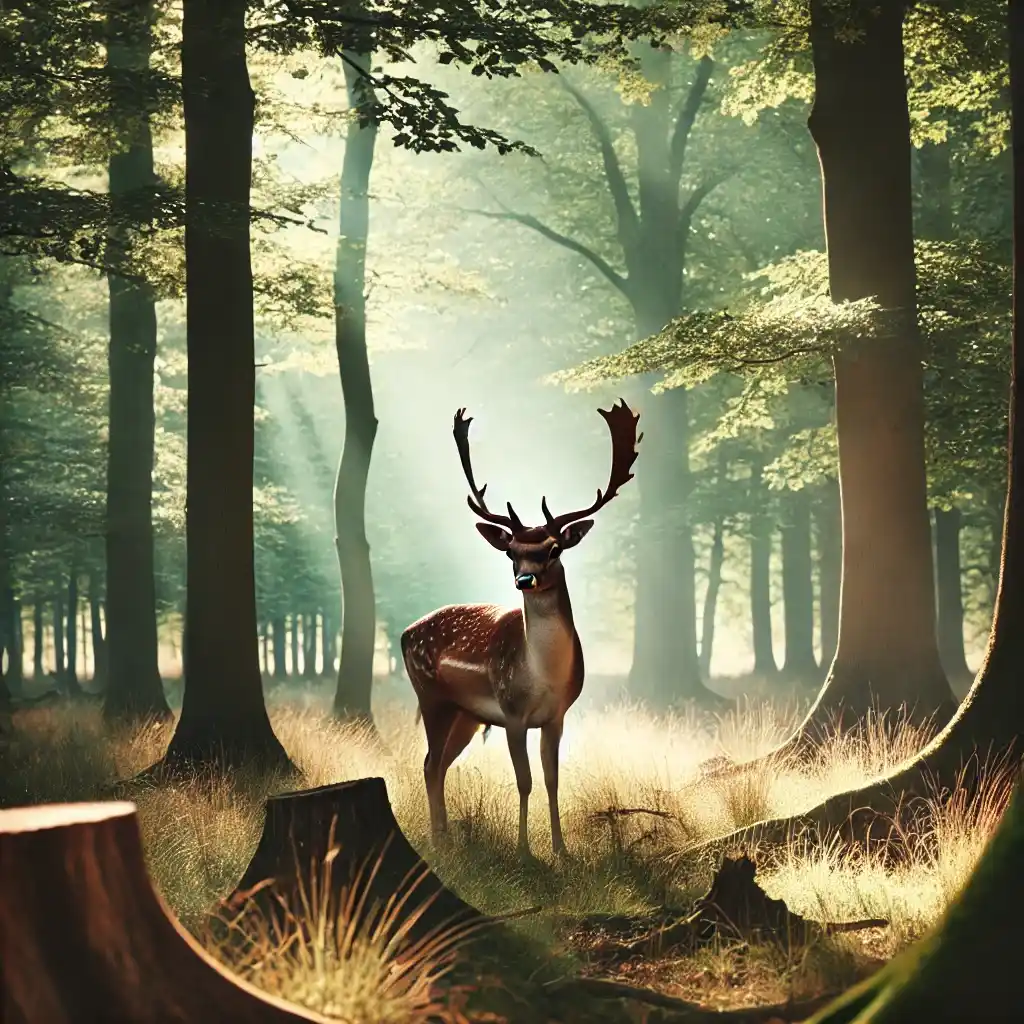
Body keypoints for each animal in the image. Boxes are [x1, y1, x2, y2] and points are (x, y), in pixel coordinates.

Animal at [401, 400, 641, 858]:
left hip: (466, 714)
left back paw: (445, 837)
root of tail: (405, 633)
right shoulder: (512, 712)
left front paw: (561, 850)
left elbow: (552, 780)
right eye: (511, 551)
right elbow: (524, 781)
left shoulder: (557, 715)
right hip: (432, 696)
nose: (524, 579)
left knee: (437, 763)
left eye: (554, 548)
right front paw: (524, 851)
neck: (544, 676)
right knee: (429, 763)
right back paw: (440, 841)